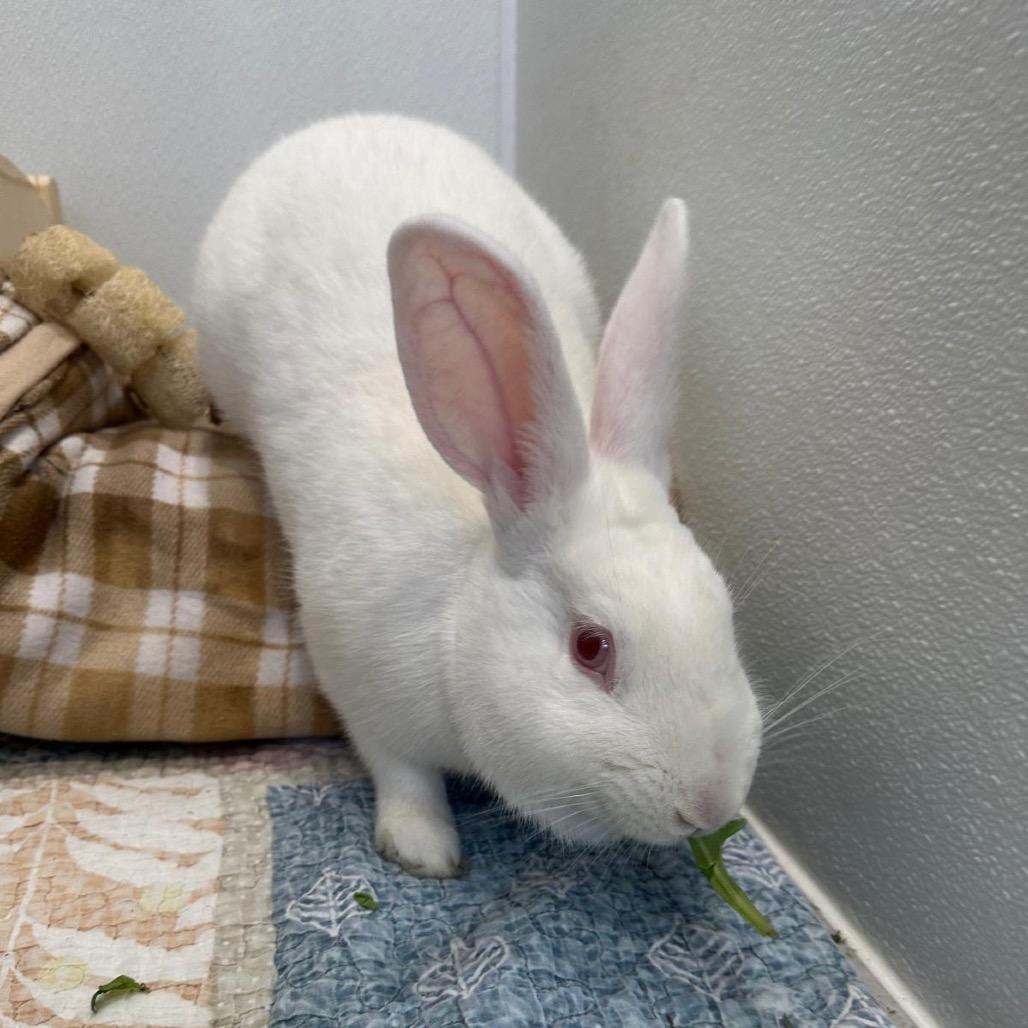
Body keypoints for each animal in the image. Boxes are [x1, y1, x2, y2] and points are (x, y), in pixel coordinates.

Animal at [193, 113, 762, 877]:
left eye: (724, 612)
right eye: (590, 648)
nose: (710, 802)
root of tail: (347, 120)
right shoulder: (360, 688)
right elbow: (402, 774)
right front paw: (424, 850)